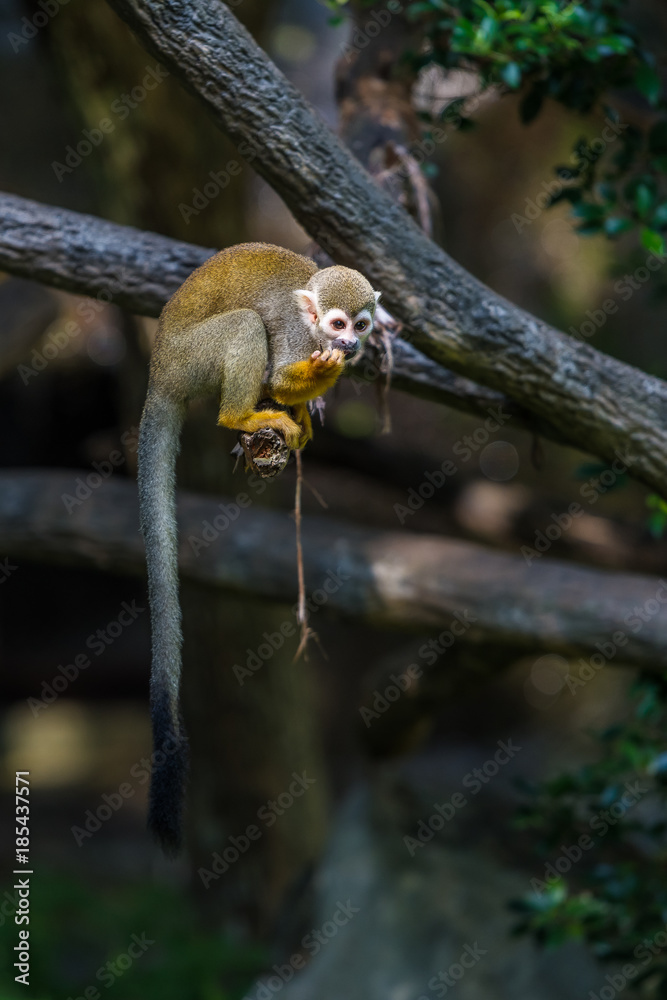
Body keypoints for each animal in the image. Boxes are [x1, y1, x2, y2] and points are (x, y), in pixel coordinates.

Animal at [138, 240, 378, 852]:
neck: (313, 327)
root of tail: (158, 373)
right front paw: (315, 377)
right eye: (336, 323)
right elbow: (277, 364)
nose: (348, 344)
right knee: (246, 326)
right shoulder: (295, 335)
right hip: (193, 361)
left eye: (361, 325)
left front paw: (311, 405)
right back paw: (242, 415)